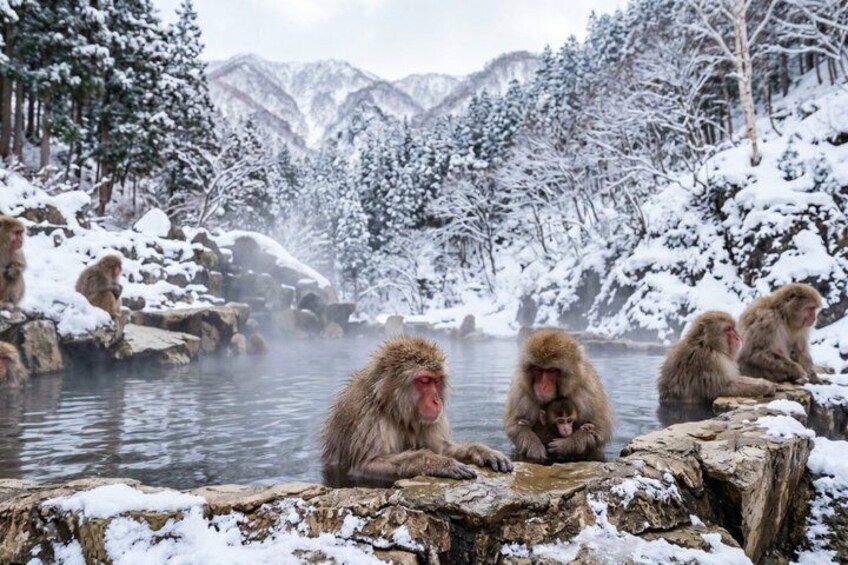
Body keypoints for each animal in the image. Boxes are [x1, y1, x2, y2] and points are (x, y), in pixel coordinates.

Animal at [322, 336, 514, 481]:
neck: (392, 408)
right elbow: (366, 465)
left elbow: (443, 448)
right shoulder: (366, 418)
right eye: (424, 381)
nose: (437, 401)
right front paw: (438, 463)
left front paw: (483, 451)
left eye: (437, 381)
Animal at [504, 329, 612, 462]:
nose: (543, 386)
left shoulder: (587, 390)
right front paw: (534, 446)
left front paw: (567, 444)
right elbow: (516, 423)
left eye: (551, 370)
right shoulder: (521, 389)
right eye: (538, 369)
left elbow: (600, 429)